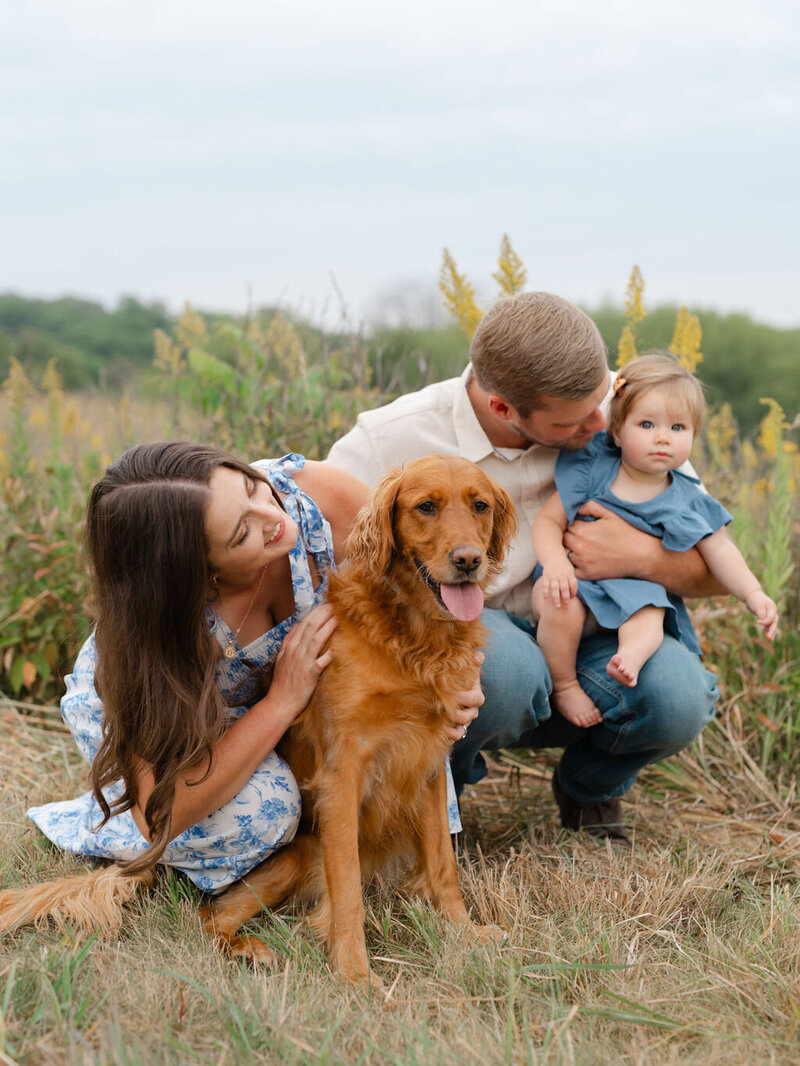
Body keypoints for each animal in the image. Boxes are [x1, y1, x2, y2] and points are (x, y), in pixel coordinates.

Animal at [199, 454, 514, 984]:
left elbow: (443, 866)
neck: (413, 639)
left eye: (480, 505)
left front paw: (464, 932)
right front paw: (354, 973)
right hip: (297, 854)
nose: (469, 560)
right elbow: (345, 888)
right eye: (426, 506)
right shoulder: (343, 772)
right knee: (211, 911)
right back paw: (250, 949)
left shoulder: (430, 761)